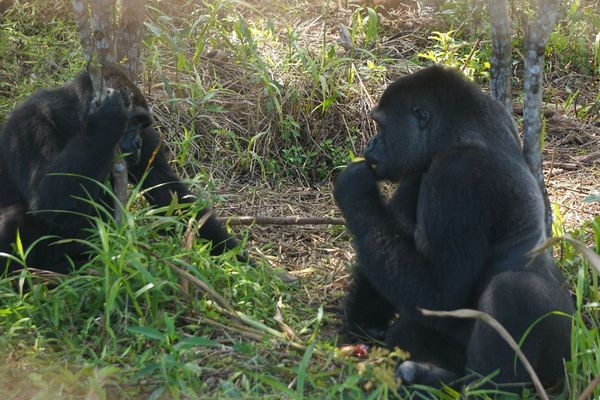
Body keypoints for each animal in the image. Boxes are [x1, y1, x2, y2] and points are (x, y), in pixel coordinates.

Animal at [0, 64, 245, 276]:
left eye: (142, 124)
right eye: (133, 121)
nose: (136, 143)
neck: (74, 119)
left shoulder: (148, 140)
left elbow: (168, 194)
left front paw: (237, 259)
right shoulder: (31, 123)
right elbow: (46, 200)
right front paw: (106, 119)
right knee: (15, 216)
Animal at [336, 65, 576, 390]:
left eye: (381, 127)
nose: (370, 145)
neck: (460, 131)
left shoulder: (459, 173)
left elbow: (442, 292)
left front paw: (356, 189)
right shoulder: (420, 166)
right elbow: (389, 235)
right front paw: (365, 323)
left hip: (564, 349)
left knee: (510, 291)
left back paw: (485, 388)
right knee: (409, 331)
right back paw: (434, 376)